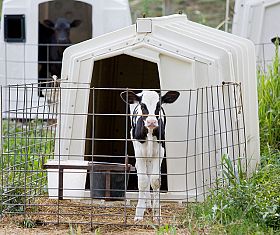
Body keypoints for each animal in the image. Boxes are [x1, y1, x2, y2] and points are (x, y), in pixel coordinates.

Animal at [120, 90, 179, 222]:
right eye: (143, 106)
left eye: (159, 105)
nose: (151, 122)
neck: (150, 132)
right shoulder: (139, 153)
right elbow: (142, 180)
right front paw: (139, 213)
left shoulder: (160, 152)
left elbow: (155, 180)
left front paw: (157, 214)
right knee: (143, 173)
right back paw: (146, 204)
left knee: (149, 173)